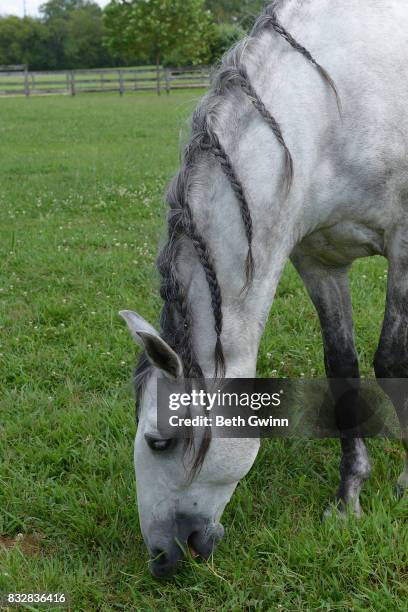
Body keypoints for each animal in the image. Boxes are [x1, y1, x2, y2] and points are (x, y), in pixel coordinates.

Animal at [119, 0, 408, 576]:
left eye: (160, 442)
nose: (160, 557)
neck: (332, 108)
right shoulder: (317, 260)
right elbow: (342, 369)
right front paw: (349, 496)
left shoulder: (405, 241)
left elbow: (390, 361)